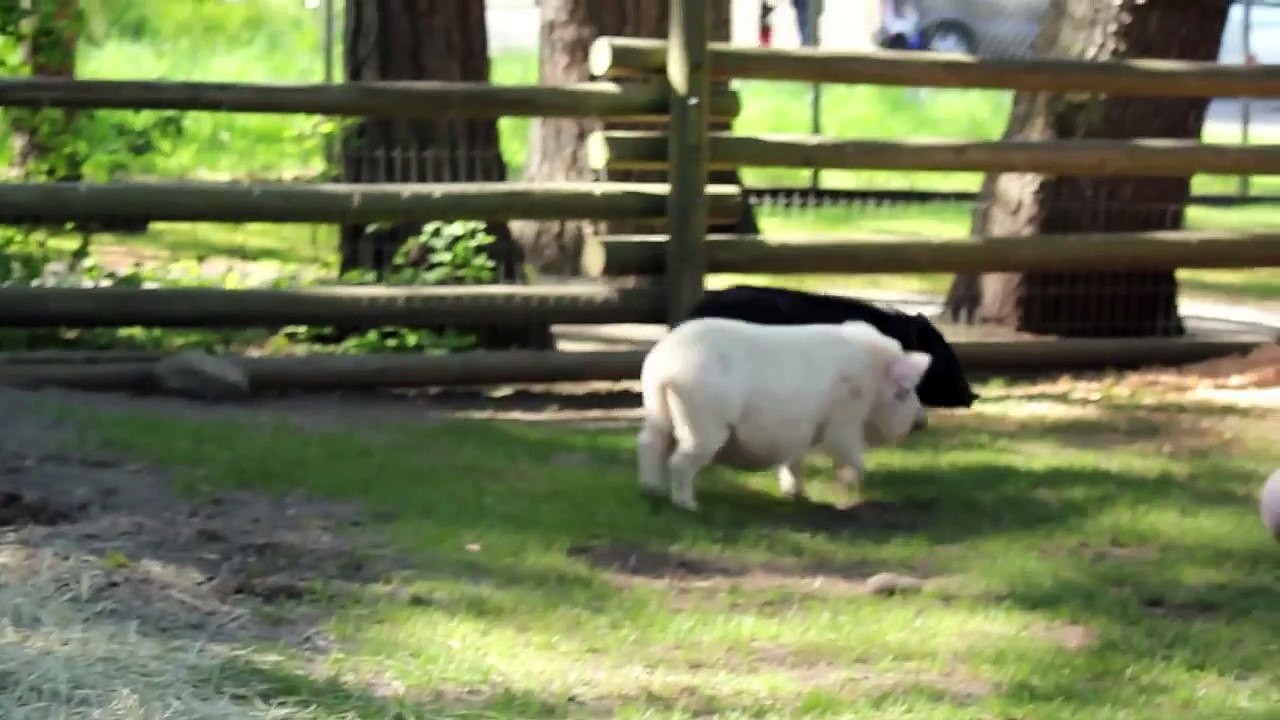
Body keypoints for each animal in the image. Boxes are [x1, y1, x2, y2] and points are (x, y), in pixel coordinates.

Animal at [637, 317, 933, 512]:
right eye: (904, 391)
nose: (922, 421)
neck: (872, 378)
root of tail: (666, 366)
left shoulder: (801, 430)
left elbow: (794, 460)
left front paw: (798, 495)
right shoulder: (844, 417)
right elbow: (850, 453)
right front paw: (853, 486)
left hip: (656, 411)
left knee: (649, 444)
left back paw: (653, 491)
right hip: (703, 421)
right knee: (680, 460)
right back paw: (689, 505)